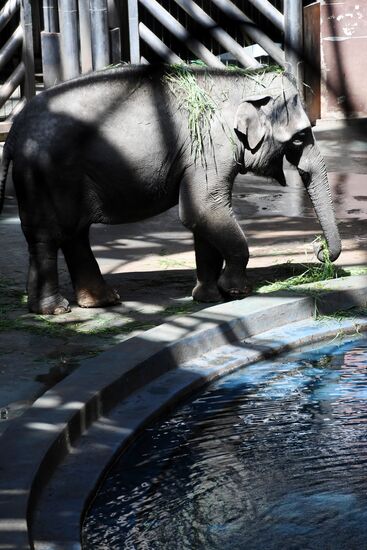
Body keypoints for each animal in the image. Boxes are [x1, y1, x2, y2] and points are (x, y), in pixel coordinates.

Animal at [0, 64, 342, 314]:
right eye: (299, 138)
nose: (319, 249)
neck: (241, 81)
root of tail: (15, 130)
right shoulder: (212, 147)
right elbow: (203, 210)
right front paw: (236, 290)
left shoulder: (202, 155)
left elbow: (203, 215)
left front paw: (207, 297)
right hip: (46, 173)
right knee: (49, 235)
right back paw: (55, 310)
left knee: (74, 233)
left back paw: (101, 301)